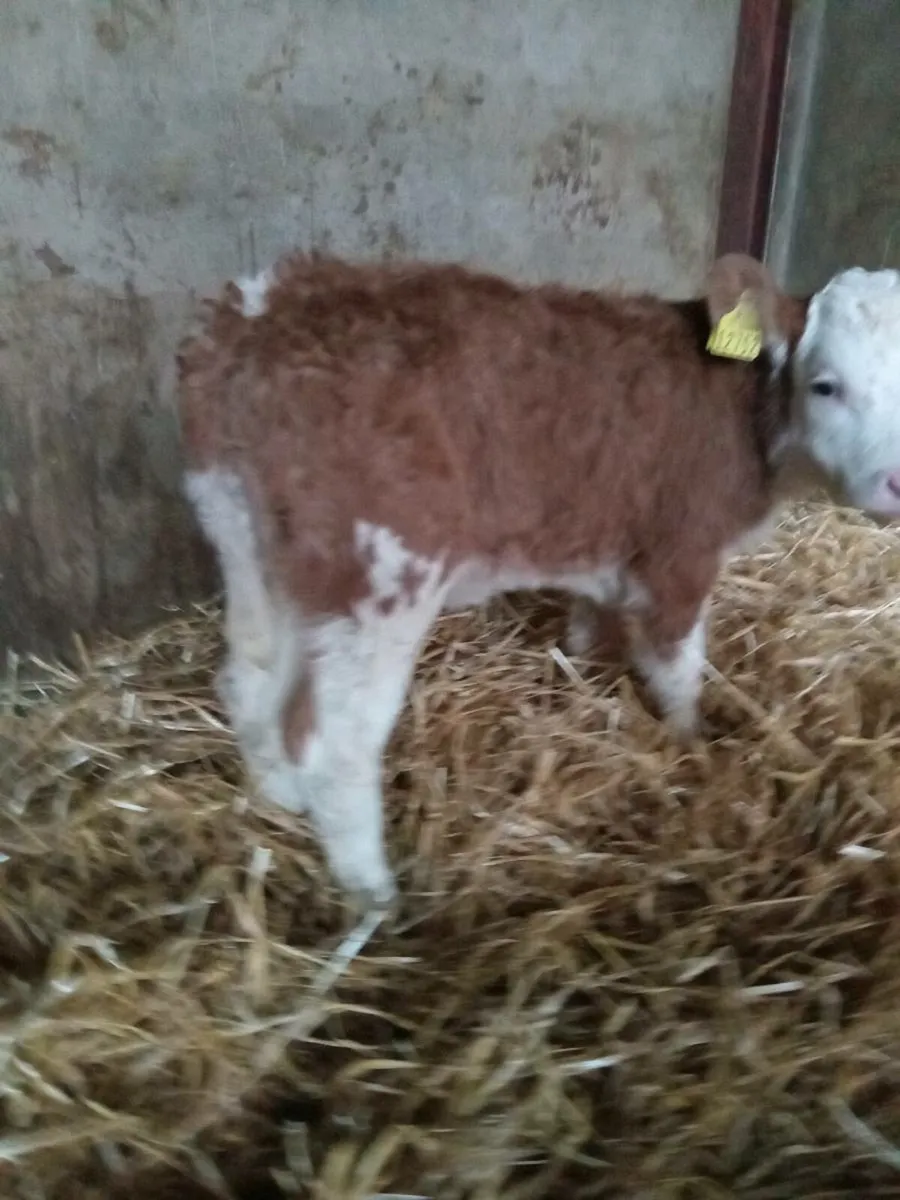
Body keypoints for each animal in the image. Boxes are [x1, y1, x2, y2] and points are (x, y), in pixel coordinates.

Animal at [176, 251, 900, 908]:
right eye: (825, 385)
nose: (896, 481)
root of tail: (261, 312)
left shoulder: (605, 542)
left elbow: (588, 624)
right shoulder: (680, 553)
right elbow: (679, 666)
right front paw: (691, 743)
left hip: (248, 544)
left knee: (250, 682)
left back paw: (279, 799)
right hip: (382, 577)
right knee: (337, 746)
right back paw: (374, 891)